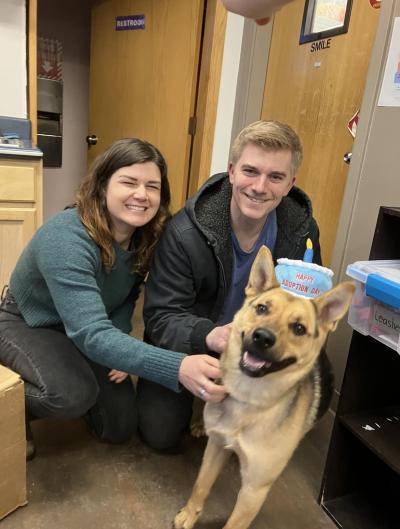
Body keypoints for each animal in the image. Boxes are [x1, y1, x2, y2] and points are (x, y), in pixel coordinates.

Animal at [174, 245, 354, 528]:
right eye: (261, 308)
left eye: (299, 328)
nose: (262, 337)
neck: (249, 398)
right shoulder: (216, 447)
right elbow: (200, 486)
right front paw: (189, 514)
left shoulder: (254, 490)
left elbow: (233, 523)